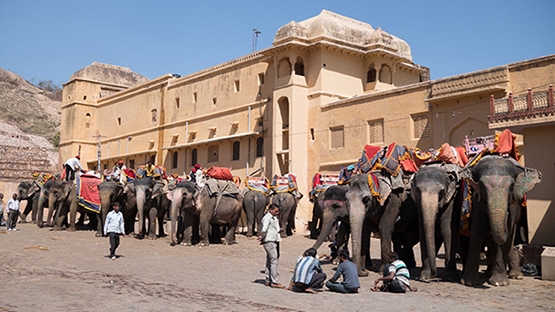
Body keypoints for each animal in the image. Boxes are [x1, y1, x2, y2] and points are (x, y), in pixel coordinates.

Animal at [462, 155, 540, 286]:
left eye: (511, 187)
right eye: (481, 186)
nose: (507, 213)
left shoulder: (513, 205)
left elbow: (504, 238)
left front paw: (500, 283)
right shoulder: (477, 200)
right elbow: (477, 231)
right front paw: (470, 282)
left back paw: (517, 276)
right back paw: (488, 274)